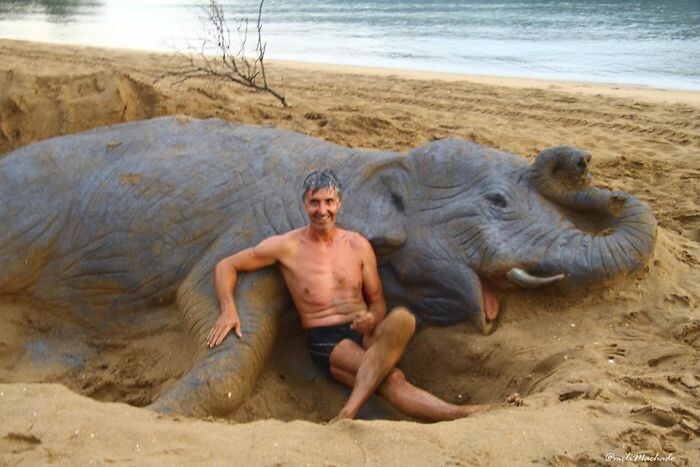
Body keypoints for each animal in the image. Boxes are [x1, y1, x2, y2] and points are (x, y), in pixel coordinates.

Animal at [0, 116, 657, 416]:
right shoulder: (255, 223)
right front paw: (161, 415)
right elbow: (218, 312)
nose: (581, 159)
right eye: (497, 201)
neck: (365, 161)